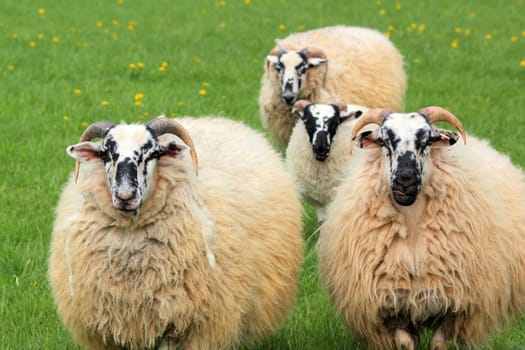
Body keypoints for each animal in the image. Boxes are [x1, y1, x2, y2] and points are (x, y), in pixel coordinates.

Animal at [50, 115, 302, 350]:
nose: (125, 196)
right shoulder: (115, 327)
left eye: (153, 153)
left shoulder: (178, 323)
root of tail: (214, 119)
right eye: (105, 154)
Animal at [318, 106, 524, 350]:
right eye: (384, 141)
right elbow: (406, 344)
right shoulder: (390, 307)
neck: (413, 231)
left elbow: (438, 344)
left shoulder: (455, 306)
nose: (405, 180)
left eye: (427, 140)